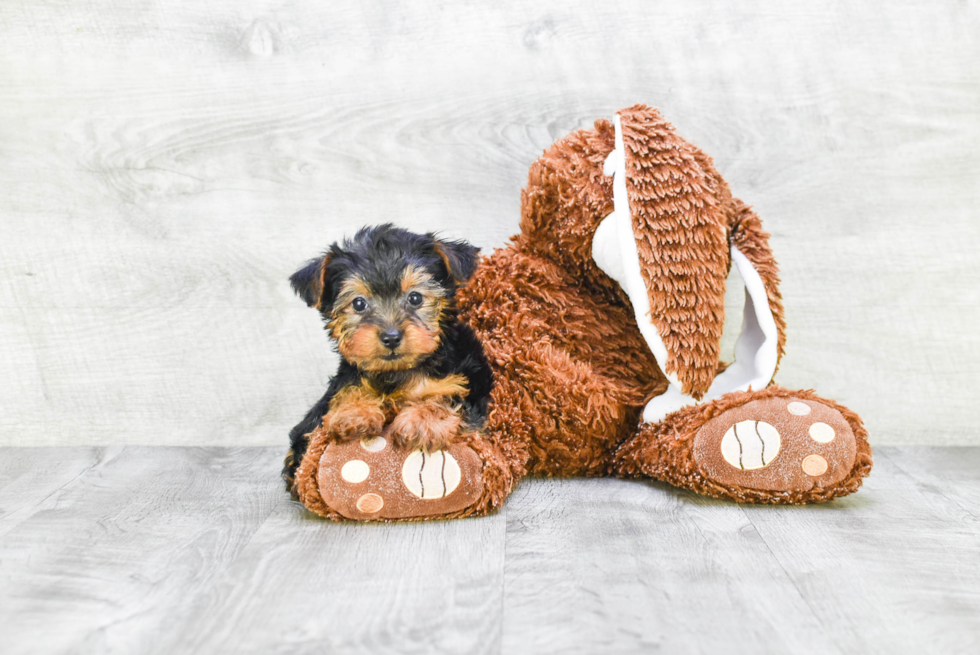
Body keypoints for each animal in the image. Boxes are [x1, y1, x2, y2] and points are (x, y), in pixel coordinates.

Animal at [280, 223, 494, 494]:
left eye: (415, 298)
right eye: (359, 303)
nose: (391, 337)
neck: (399, 371)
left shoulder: (470, 381)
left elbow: (446, 396)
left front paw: (422, 421)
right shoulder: (344, 380)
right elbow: (347, 389)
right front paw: (353, 412)